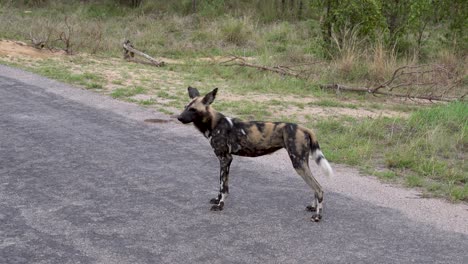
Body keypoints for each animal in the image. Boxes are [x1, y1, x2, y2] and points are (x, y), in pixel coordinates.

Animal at [176, 86, 332, 221]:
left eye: (193, 110)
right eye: (185, 107)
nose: (179, 117)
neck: (213, 124)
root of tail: (304, 128)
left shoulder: (225, 159)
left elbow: (223, 186)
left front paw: (220, 205)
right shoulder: (224, 160)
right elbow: (220, 185)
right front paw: (217, 200)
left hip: (298, 163)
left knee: (319, 188)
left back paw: (318, 216)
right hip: (302, 162)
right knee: (316, 186)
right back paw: (313, 207)